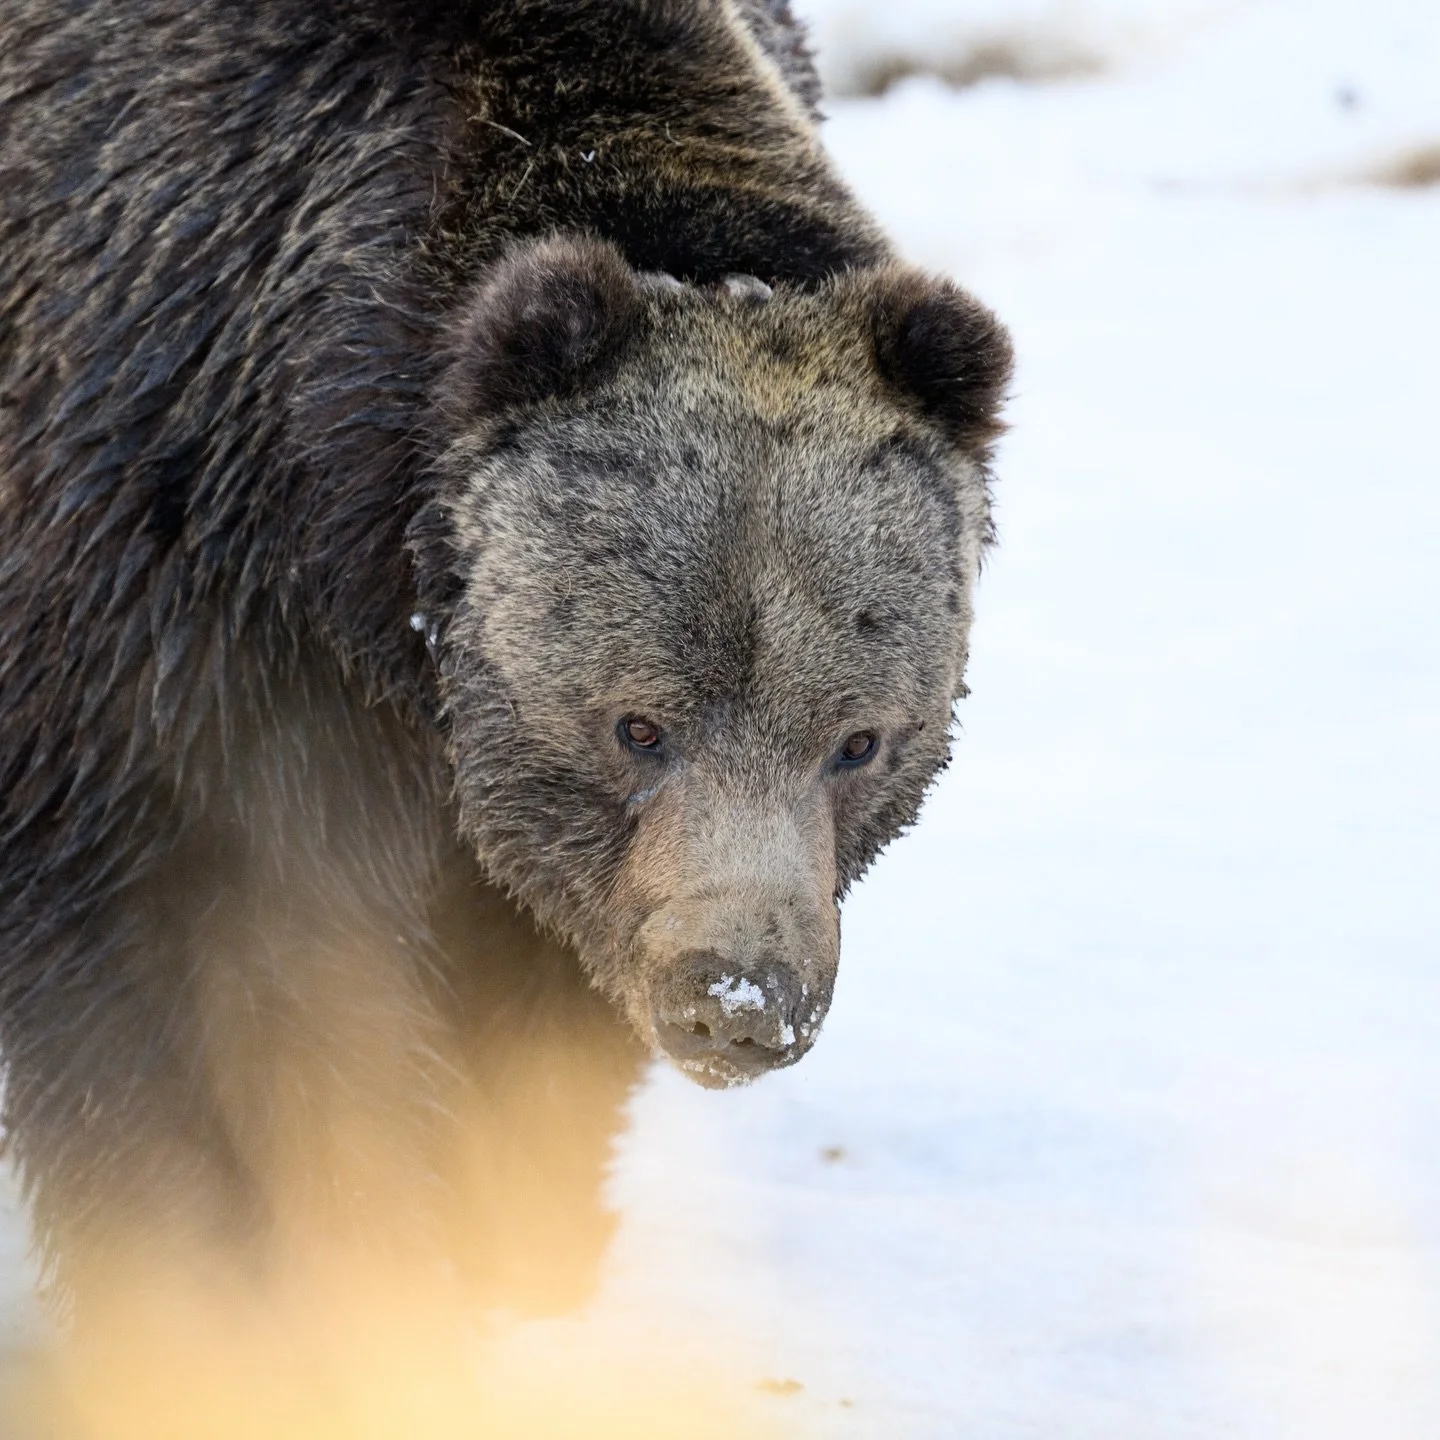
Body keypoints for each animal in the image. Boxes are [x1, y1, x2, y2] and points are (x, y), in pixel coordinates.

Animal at [0, 0, 1012, 1311]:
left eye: (858, 742)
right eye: (638, 725)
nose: (737, 1001)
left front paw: (508, 1237)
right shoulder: (156, 604)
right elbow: (179, 980)